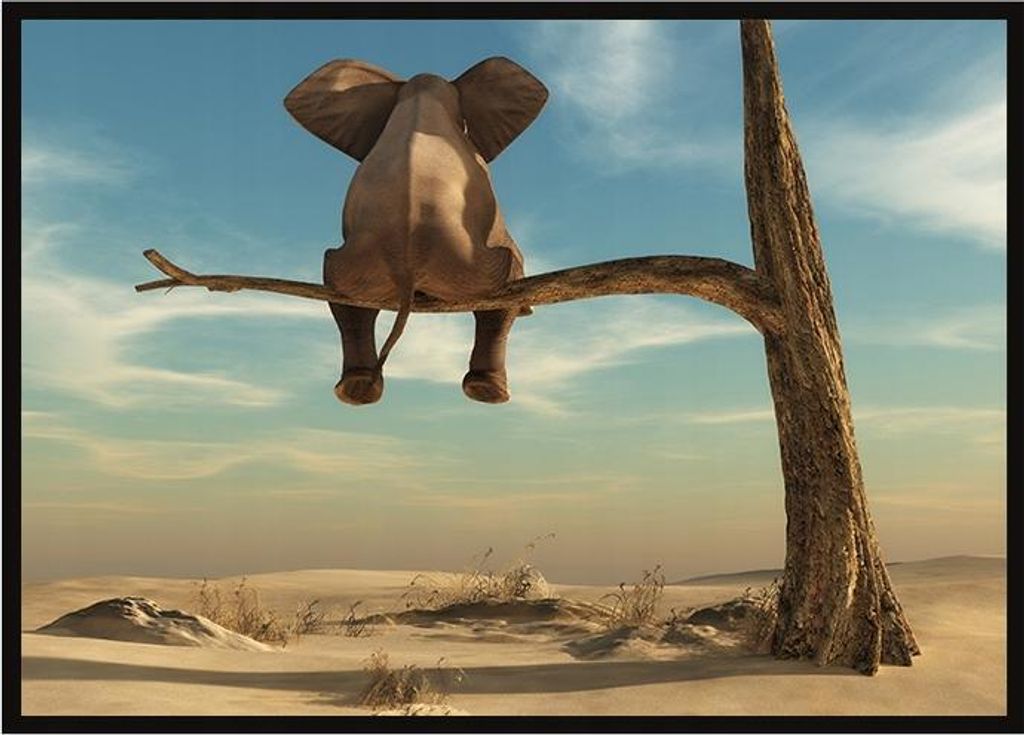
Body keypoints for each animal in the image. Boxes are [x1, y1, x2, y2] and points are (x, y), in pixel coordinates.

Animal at [284, 56, 548, 406]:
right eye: (465, 127)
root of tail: (406, 262)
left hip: (356, 265)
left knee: (342, 293)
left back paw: (356, 389)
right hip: (469, 264)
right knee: (503, 284)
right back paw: (487, 391)